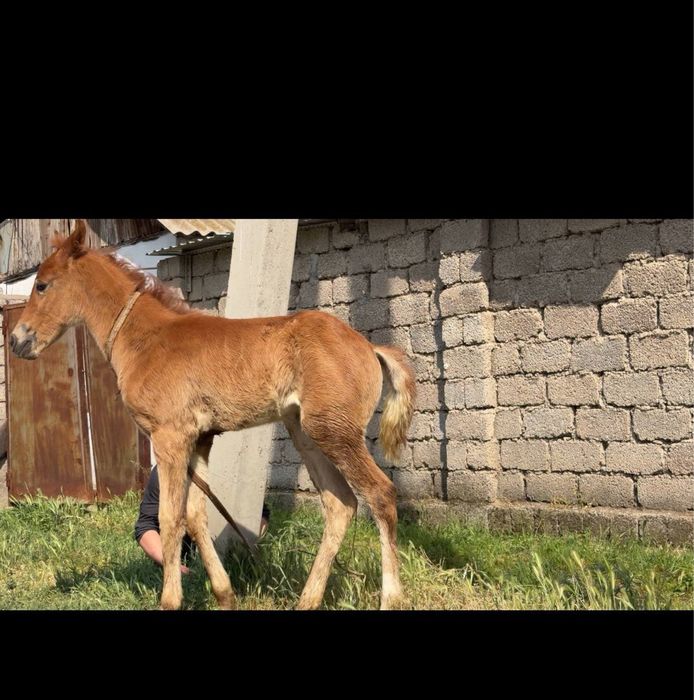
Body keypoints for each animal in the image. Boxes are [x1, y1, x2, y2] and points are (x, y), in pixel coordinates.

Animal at [10, 220, 416, 610]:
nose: (17, 340)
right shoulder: (200, 438)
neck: (146, 338)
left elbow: (170, 517)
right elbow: (195, 514)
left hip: (333, 431)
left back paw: (391, 598)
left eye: (42, 285)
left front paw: (170, 600)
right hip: (306, 433)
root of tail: (368, 346)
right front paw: (224, 594)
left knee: (380, 493)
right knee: (340, 503)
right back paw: (307, 599)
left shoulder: (170, 436)